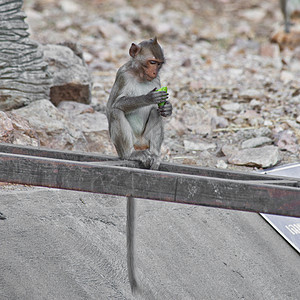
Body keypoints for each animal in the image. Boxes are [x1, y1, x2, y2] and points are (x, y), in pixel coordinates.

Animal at [106, 37, 172, 292]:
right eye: (151, 62)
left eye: (159, 65)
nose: (154, 71)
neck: (141, 76)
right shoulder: (122, 75)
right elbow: (111, 107)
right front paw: (148, 98)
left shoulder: (158, 83)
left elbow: (161, 110)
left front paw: (167, 107)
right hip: (125, 144)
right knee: (116, 111)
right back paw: (132, 155)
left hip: (145, 139)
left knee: (156, 116)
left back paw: (154, 155)